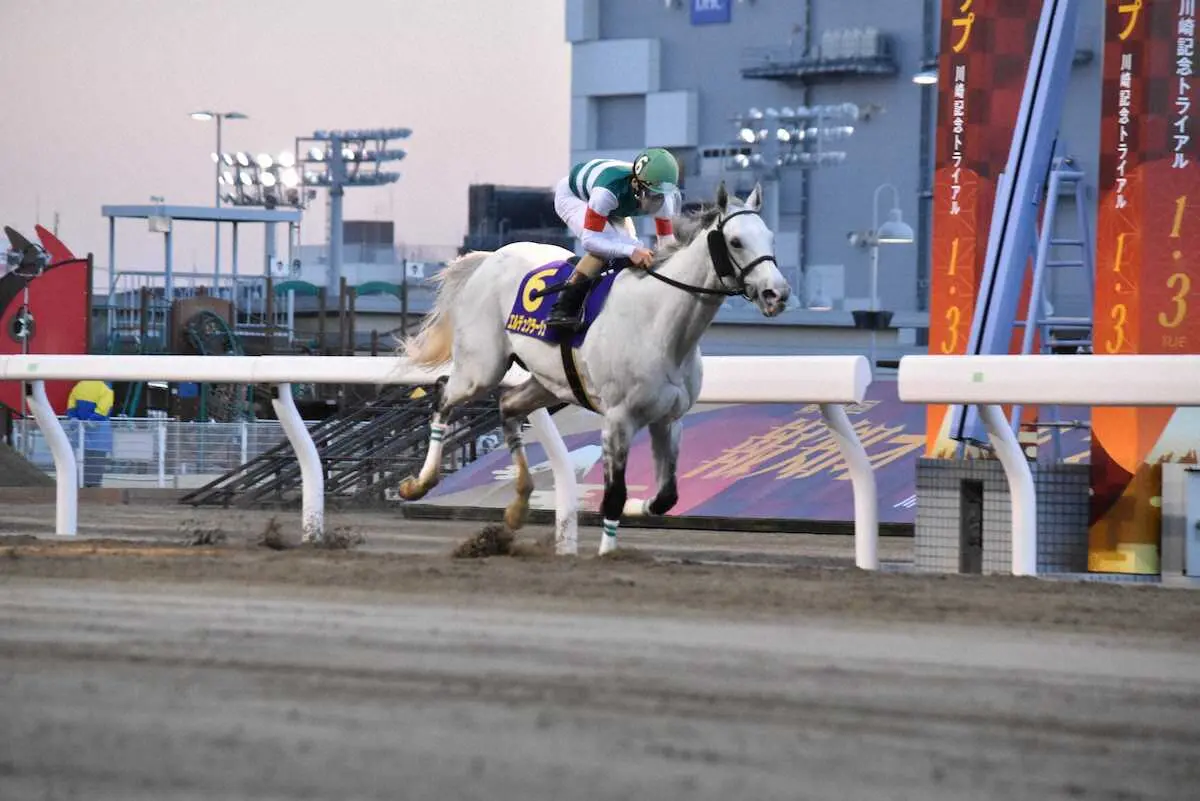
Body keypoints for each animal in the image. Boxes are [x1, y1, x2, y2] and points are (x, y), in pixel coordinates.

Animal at [397, 181, 791, 554]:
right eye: (736, 241)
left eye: (771, 237)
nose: (778, 294)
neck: (660, 325)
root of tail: (490, 257)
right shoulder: (618, 418)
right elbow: (614, 494)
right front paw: (607, 552)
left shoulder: (668, 419)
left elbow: (665, 498)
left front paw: (636, 506)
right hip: (481, 368)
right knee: (443, 395)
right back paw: (419, 483)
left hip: (549, 381)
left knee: (507, 405)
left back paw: (518, 505)